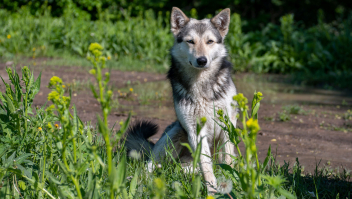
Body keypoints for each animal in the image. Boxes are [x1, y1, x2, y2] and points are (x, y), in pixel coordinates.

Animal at [125, 7, 238, 193]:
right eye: (190, 41)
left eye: (210, 41)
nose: (202, 60)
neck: (201, 84)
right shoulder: (195, 130)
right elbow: (206, 165)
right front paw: (212, 190)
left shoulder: (227, 125)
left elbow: (227, 160)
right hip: (174, 134)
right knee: (149, 166)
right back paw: (134, 180)